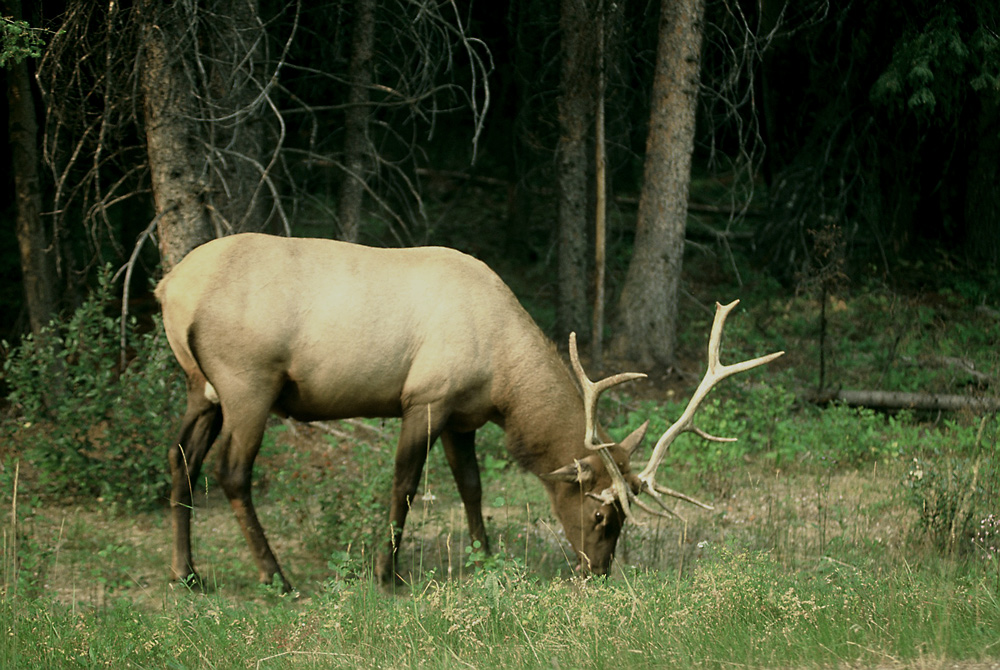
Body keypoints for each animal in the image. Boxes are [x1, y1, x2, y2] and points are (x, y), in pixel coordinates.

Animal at [156, 234, 780, 592]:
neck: (503, 380)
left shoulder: (462, 416)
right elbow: (406, 485)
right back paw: (277, 577)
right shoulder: (424, 398)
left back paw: (187, 574)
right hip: (248, 382)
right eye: (604, 515)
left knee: (179, 458)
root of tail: (169, 289)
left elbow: (472, 486)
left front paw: (486, 558)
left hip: (201, 386)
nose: (597, 572)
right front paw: (387, 574)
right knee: (231, 472)